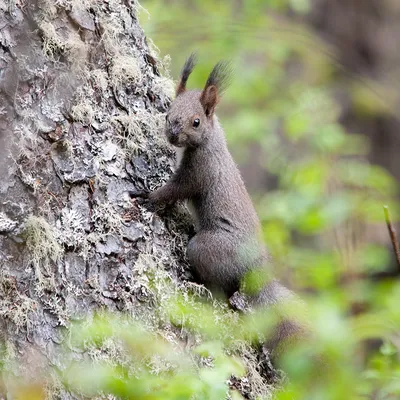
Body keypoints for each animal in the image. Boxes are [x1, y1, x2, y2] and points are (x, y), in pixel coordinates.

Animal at [131, 54, 304, 358]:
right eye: (167, 113)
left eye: (196, 122)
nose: (172, 135)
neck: (210, 141)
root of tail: (256, 271)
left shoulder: (197, 174)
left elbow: (173, 190)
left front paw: (149, 198)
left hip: (208, 249)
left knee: (222, 287)